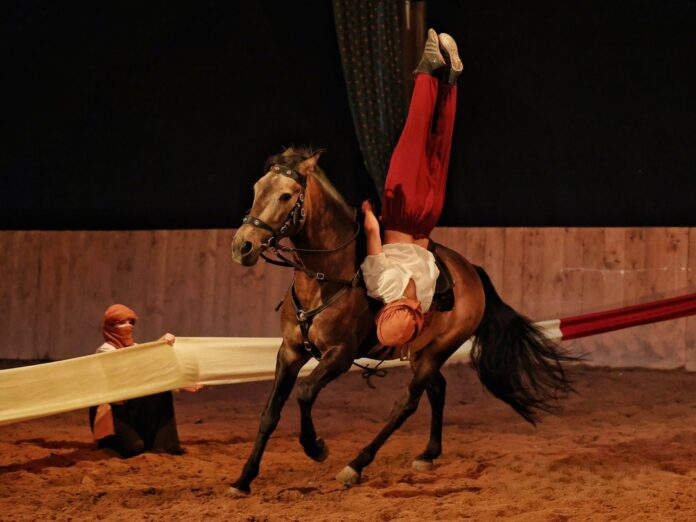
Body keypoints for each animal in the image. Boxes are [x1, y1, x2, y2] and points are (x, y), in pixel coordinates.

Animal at [229, 147, 576, 494]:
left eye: (286, 196)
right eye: (257, 189)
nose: (242, 246)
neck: (327, 276)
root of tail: (472, 273)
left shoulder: (340, 356)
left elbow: (305, 392)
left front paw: (316, 448)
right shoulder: (289, 351)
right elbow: (270, 413)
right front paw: (244, 479)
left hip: (437, 350)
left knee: (407, 403)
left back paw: (356, 465)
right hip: (422, 353)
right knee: (437, 389)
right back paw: (428, 453)